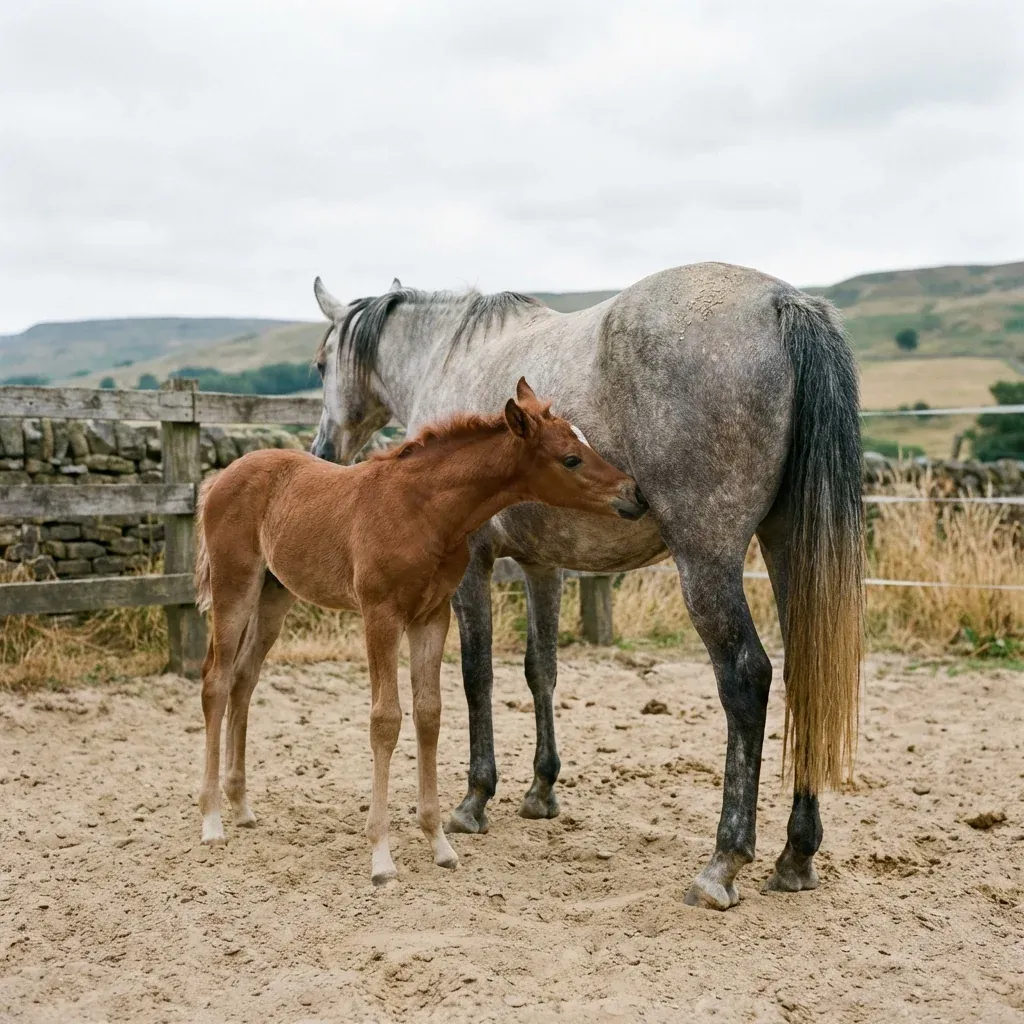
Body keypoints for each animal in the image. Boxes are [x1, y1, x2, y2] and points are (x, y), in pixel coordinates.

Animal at [193, 379, 647, 885]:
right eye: (570, 458)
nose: (635, 494)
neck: (422, 510)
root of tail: (222, 476)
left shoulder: (432, 617)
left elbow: (429, 715)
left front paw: (439, 843)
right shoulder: (381, 614)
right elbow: (386, 720)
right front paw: (381, 857)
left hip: (275, 595)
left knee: (244, 679)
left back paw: (241, 806)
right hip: (234, 587)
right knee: (216, 681)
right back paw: (212, 821)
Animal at [309, 263, 863, 909]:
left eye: (320, 365)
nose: (322, 451)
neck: (449, 355)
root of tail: (783, 302)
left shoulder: (471, 567)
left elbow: (476, 674)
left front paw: (475, 800)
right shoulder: (543, 568)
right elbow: (540, 669)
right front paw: (541, 790)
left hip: (708, 559)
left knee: (747, 677)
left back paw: (722, 864)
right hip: (787, 545)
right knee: (809, 671)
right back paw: (796, 855)